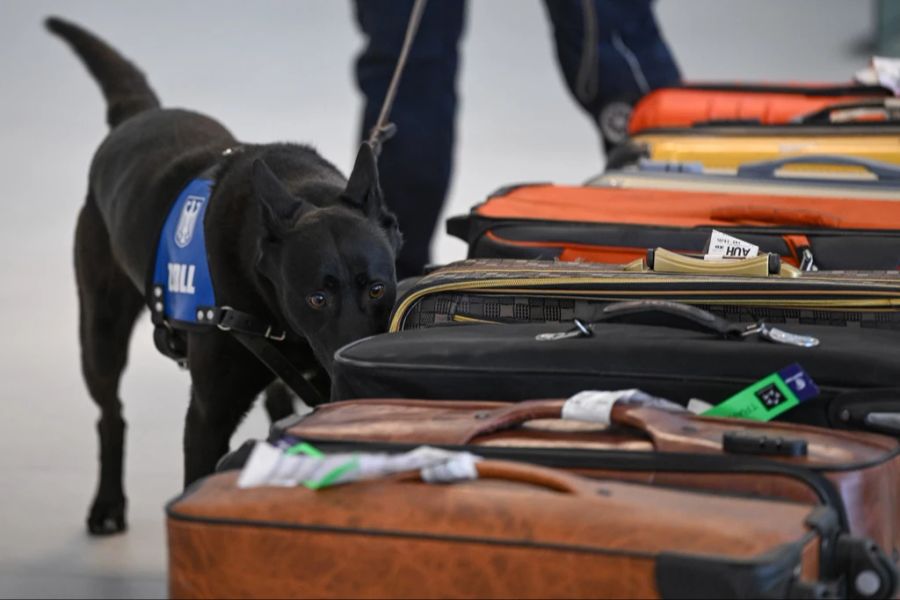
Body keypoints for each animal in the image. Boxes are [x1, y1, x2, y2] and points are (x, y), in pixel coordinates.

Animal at [47, 17, 400, 536]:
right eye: (316, 298)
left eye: (377, 289)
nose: (348, 370)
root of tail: (137, 117)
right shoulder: (208, 417)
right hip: (100, 330)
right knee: (110, 413)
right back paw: (108, 504)